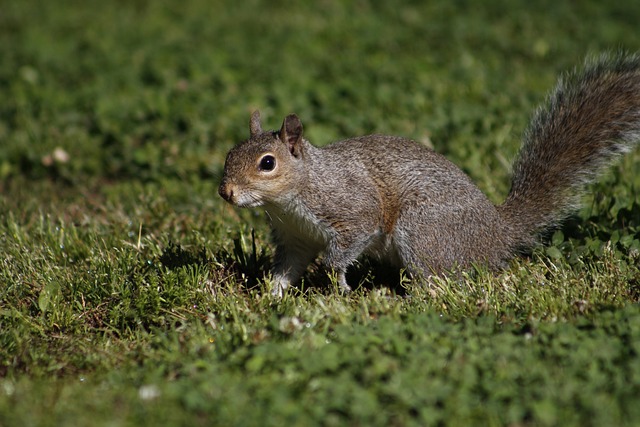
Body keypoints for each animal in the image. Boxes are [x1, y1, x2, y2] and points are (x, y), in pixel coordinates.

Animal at [216, 51, 640, 296]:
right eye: (229, 154)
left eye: (267, 163)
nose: (226, 192)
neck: (293, 196)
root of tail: (498, 234)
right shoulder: (295, 237)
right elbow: (287, 268)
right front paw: (271, 297)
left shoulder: (351, 210)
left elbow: (349, 243)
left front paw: (340, 287)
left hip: (423, 232)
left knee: (442, 282)